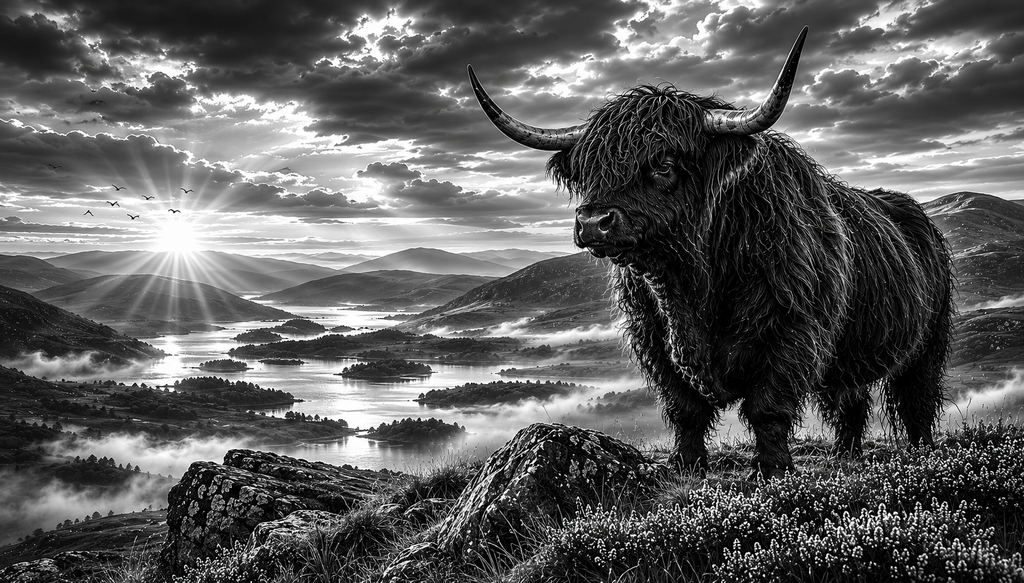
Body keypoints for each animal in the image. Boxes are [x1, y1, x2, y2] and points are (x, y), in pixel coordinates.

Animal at [467, 26, 955, 479]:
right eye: (588, 169)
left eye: (663, 163)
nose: (592, 222)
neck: (693, 282)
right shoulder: (654, 340)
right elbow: (685, 408)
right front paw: (685, 464)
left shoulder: (794, 332)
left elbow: (767, 407)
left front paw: (771, 469)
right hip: (851, 356)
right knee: (849, 400)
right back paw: (846, 455)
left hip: (927, 343)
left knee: (916, 400)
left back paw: (920, 453)